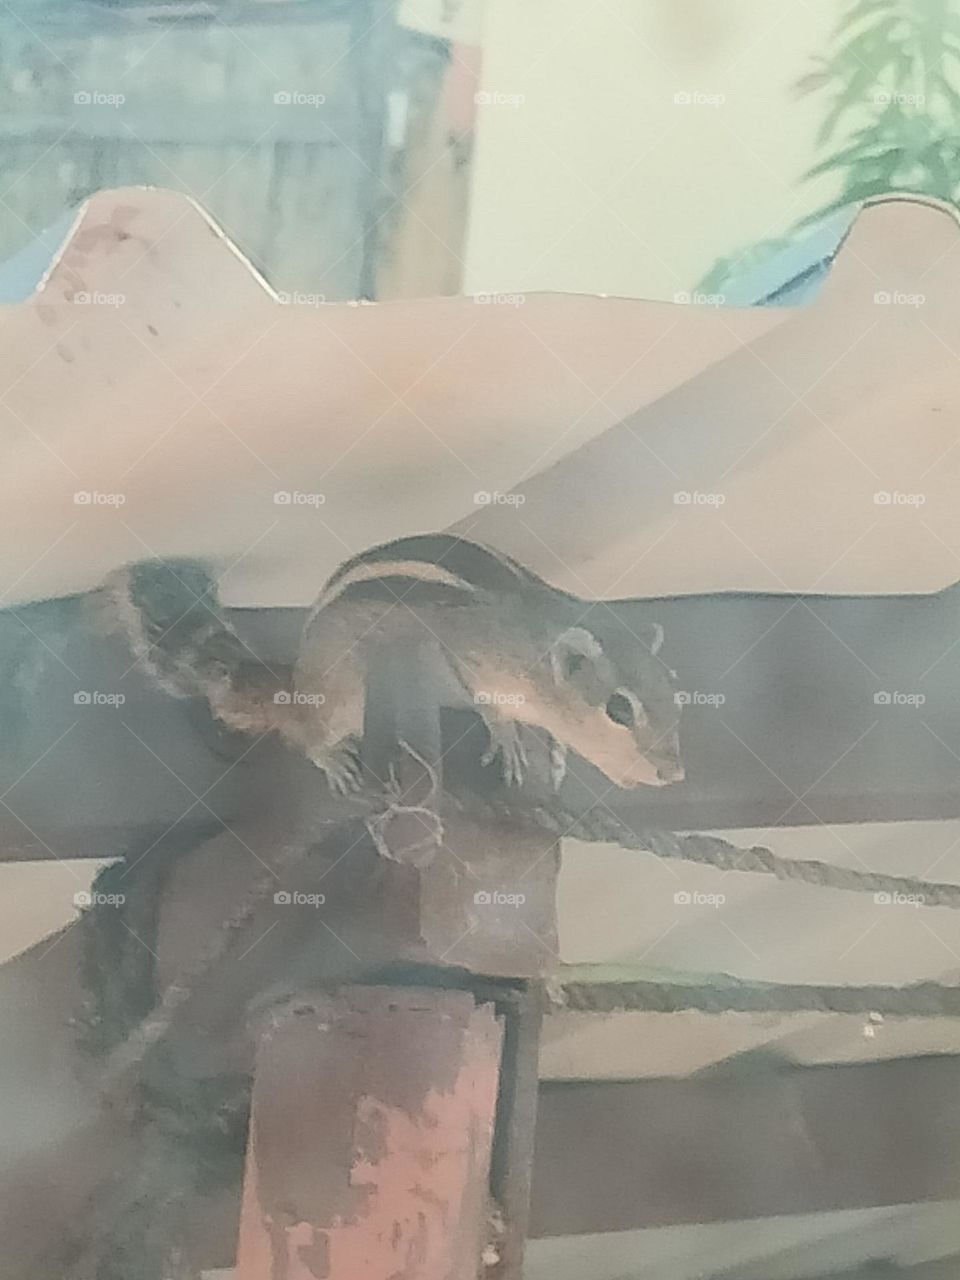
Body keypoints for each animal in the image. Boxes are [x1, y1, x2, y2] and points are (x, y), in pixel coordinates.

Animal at [105, 533, 684, 794]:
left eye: (673, 690)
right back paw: (330, 756)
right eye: (619, 710)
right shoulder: (471, 658)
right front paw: (510, 740)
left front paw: (557, 752)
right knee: (306, 729)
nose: (673, 772)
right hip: (341, 694)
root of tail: (301, 676)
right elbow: (489, 706)